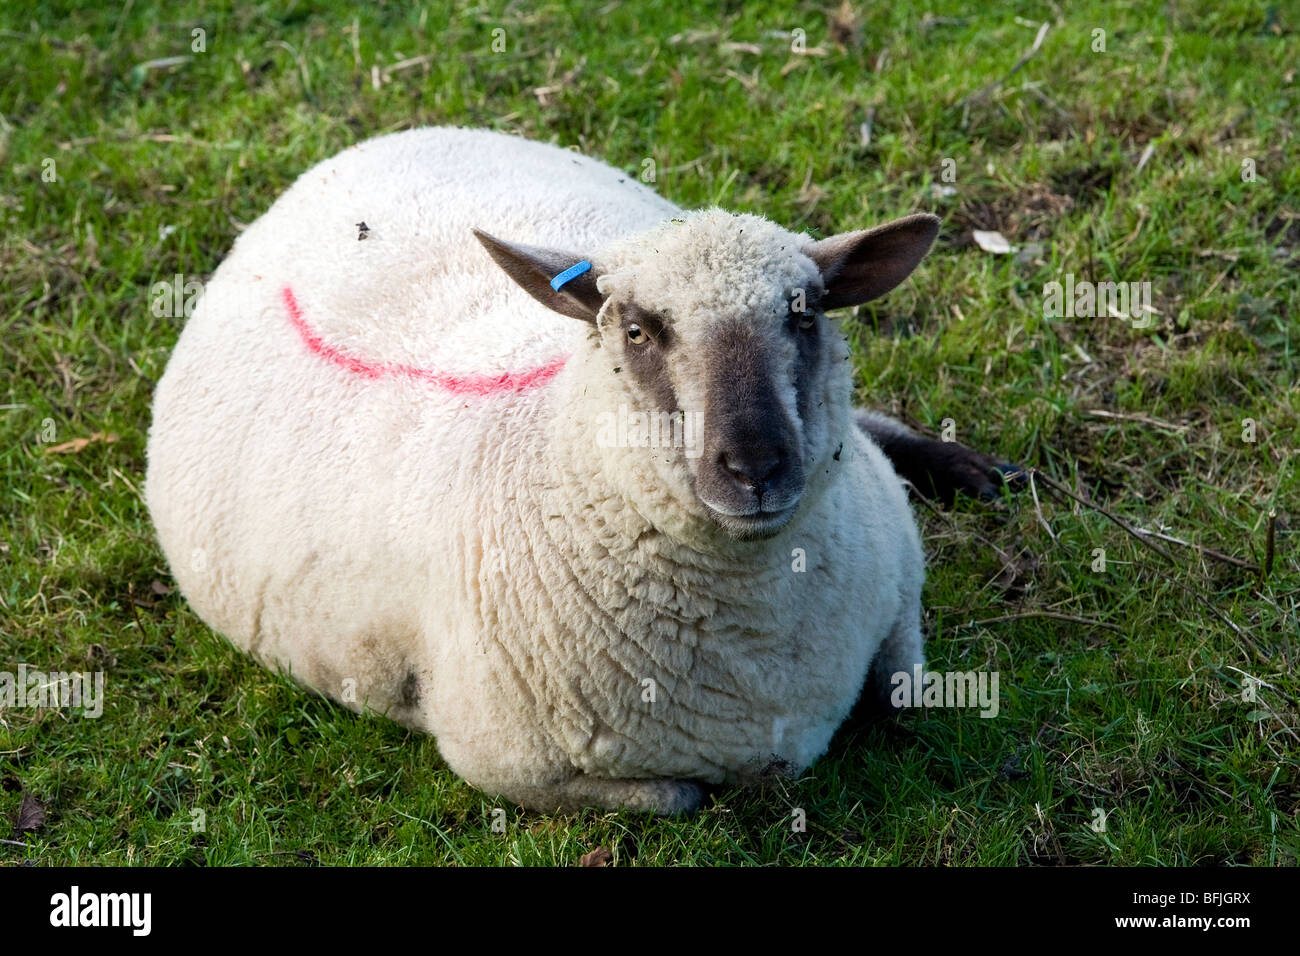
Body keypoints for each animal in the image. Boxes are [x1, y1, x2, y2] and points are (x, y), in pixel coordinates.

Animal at [144, 127, 1013, 816]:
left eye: (806, 316)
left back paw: (975, 469)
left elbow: (905, 695)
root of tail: (351, 154)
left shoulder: (897, 583)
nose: (757, 466)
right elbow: (680, 796)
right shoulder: (504, 763)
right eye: (636, 330)